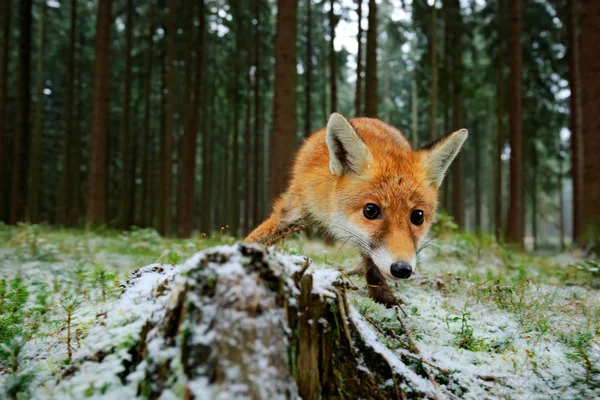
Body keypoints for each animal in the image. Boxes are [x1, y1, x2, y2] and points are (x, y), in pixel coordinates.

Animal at [245, 112, 468, 306]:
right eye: (370, 211)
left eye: (418, 216)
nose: (402, 269)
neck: (329, 210)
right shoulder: (295, 206)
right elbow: (259, 237)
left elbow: (373, 264)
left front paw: (383, 297)